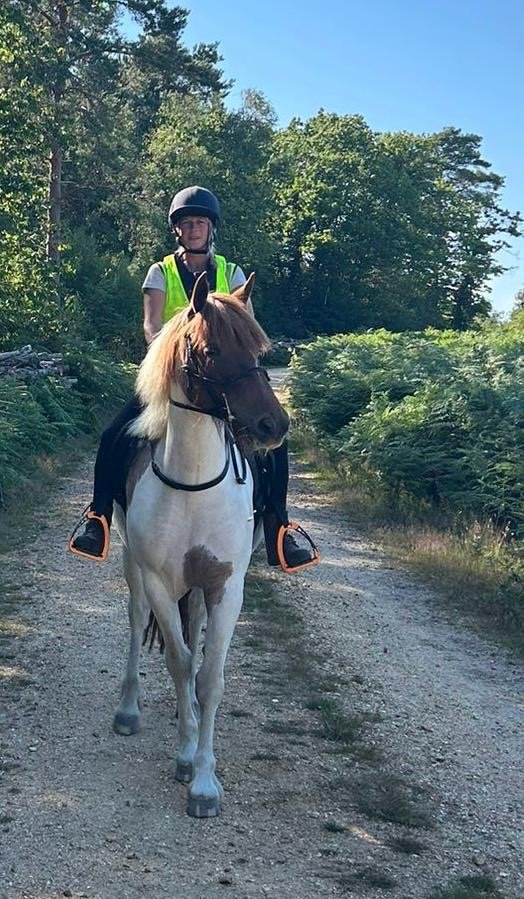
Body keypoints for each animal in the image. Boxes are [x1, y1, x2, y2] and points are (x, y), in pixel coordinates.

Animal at [112, 271, 289, 818]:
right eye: (211, 352)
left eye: (259, 347)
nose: (274, 425)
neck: (193, 482)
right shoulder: (158, 581)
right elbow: (178, 659)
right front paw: (188, 758)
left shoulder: (225, 585)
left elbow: (209, 675)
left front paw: (204, 780)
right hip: (132, 566)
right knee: (136, 624)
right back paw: (130, 708)